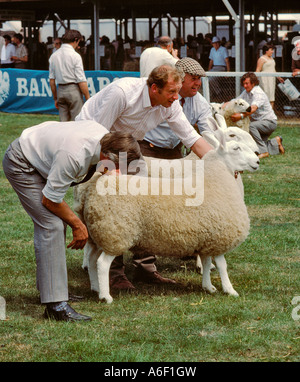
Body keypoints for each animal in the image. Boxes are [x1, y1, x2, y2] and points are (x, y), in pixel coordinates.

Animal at [74, 127, 258, 302]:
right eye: (236, 147)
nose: (257, 160)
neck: (216, 178)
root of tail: (93, 187)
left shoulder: (207, 239)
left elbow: (206, 264)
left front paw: (208, 287)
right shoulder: (220, 237)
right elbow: (222, 265)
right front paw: (230, 290)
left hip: (97, 232)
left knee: (92, 260)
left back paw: (95, 288)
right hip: (115, 232)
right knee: (102, 264)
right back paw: (106, 296)